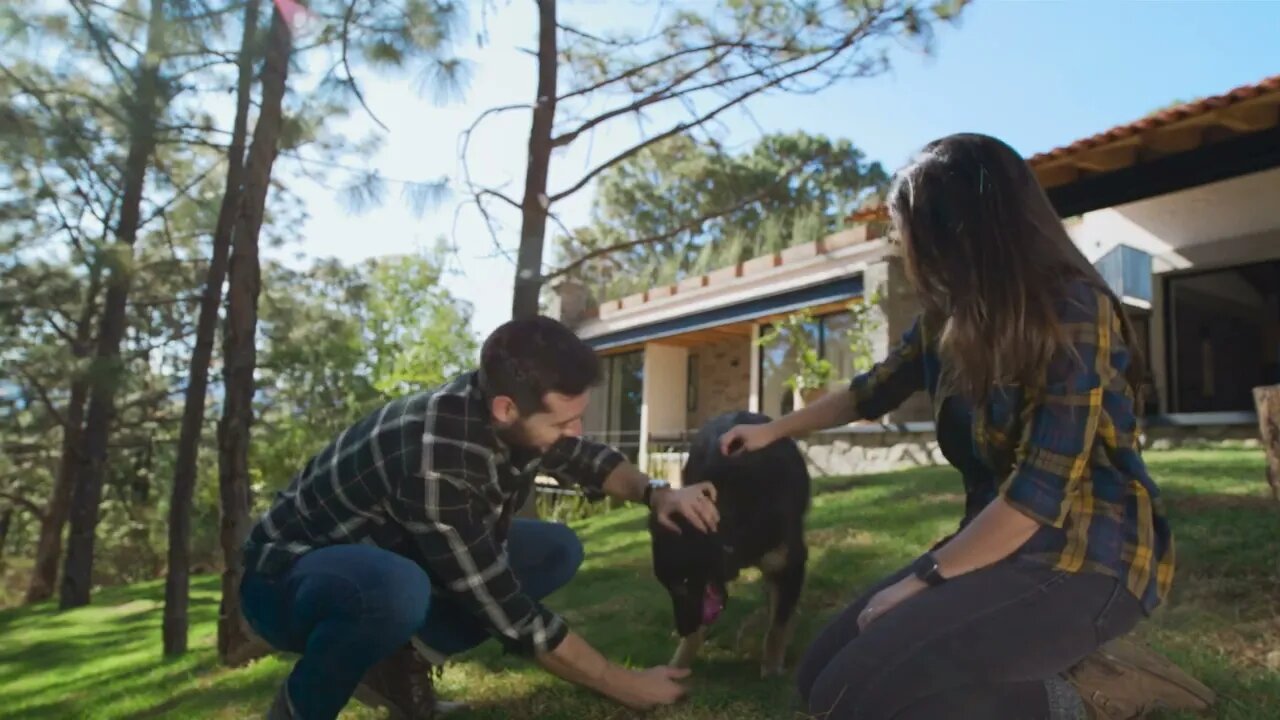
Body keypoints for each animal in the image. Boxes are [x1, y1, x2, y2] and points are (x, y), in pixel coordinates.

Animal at [645, 409, 814, 671]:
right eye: (668, 586)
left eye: (683, 583)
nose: (681, 630)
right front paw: (678, 664)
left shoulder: (789, 562)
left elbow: (777, 624)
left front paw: (772, 667)